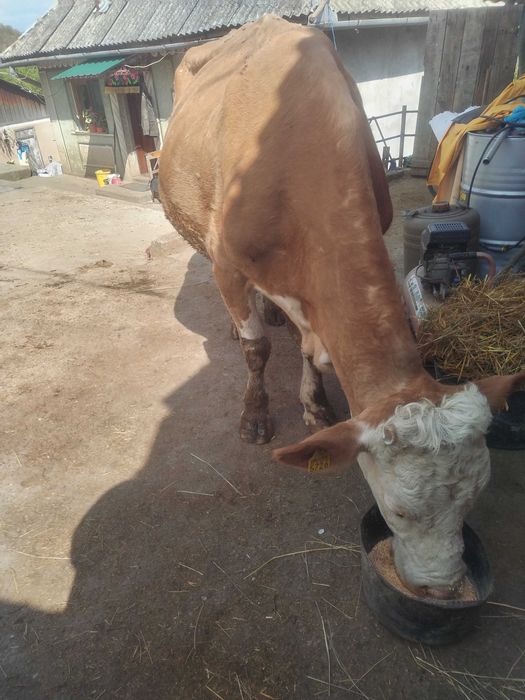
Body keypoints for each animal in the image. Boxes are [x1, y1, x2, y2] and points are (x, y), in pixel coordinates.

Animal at [160, 16, 525, 598]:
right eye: (397, 512)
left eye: (473, 500)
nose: (444, 588)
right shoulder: (227, 264)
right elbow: (257, 349)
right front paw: (256, 416)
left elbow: (313, 355)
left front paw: (315, 405)